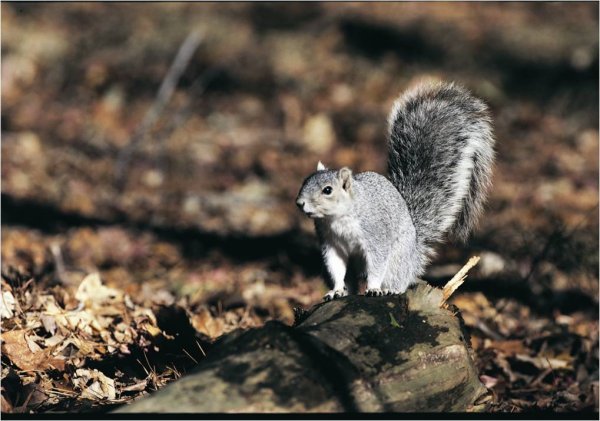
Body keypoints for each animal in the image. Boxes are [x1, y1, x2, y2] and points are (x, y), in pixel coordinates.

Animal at [296, 81, 496, 298]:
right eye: (304, 181)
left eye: (327, 190)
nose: (300, 203)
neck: (338, 218)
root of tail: (413, 255)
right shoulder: (331, 244)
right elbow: (336, 268)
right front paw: (337, 290)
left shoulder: (376, 235)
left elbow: (376, 264)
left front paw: (374, 288)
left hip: (397, 261)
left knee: (397, 280)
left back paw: (388, 289)